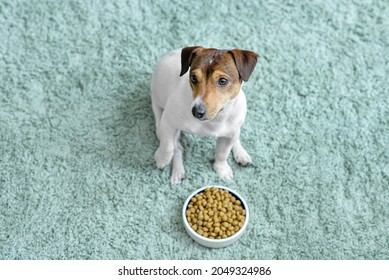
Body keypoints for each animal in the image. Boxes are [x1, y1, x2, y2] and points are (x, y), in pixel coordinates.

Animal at [152, 46, 258, 184]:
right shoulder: (168, 123)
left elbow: (222, 153)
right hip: (159, 118)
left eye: (222, 81)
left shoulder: (229, 135)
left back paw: (241, 153)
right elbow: (167, 146)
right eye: (193, 78)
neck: (214, 120)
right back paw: (178, 171)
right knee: (177, 147)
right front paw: (162, 159)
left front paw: (221, 169)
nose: (197, 112)